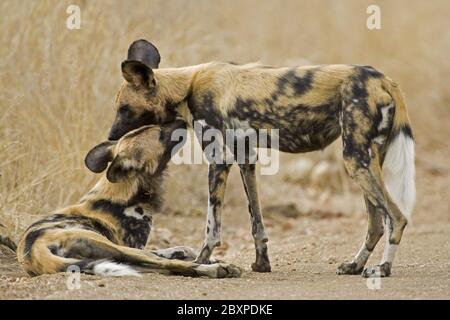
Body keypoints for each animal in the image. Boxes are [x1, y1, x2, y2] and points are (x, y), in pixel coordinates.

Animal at [16, 121, 243, 278]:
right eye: (160, 134)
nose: (181, 120)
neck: (127, 190)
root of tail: (32, 250)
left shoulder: (140, 248)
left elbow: (182, 249)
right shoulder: (136, 246)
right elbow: (172, 255)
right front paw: (211, 261)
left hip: (118, 257)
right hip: (114, 247)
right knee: (166, 264)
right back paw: (219, 269)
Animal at [107, 39, 416, 278]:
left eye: (124, 108)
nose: (110, 135)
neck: (187, 86)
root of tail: (382, 78)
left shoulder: (219, 159)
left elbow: (211, 227)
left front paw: (200, 263)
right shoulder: (246, 157)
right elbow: (256, 220)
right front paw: (261, 263)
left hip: (355, 160)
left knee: (396, 218)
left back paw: (382, 269)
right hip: (366, 160)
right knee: (376, 223)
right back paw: (355, 265)